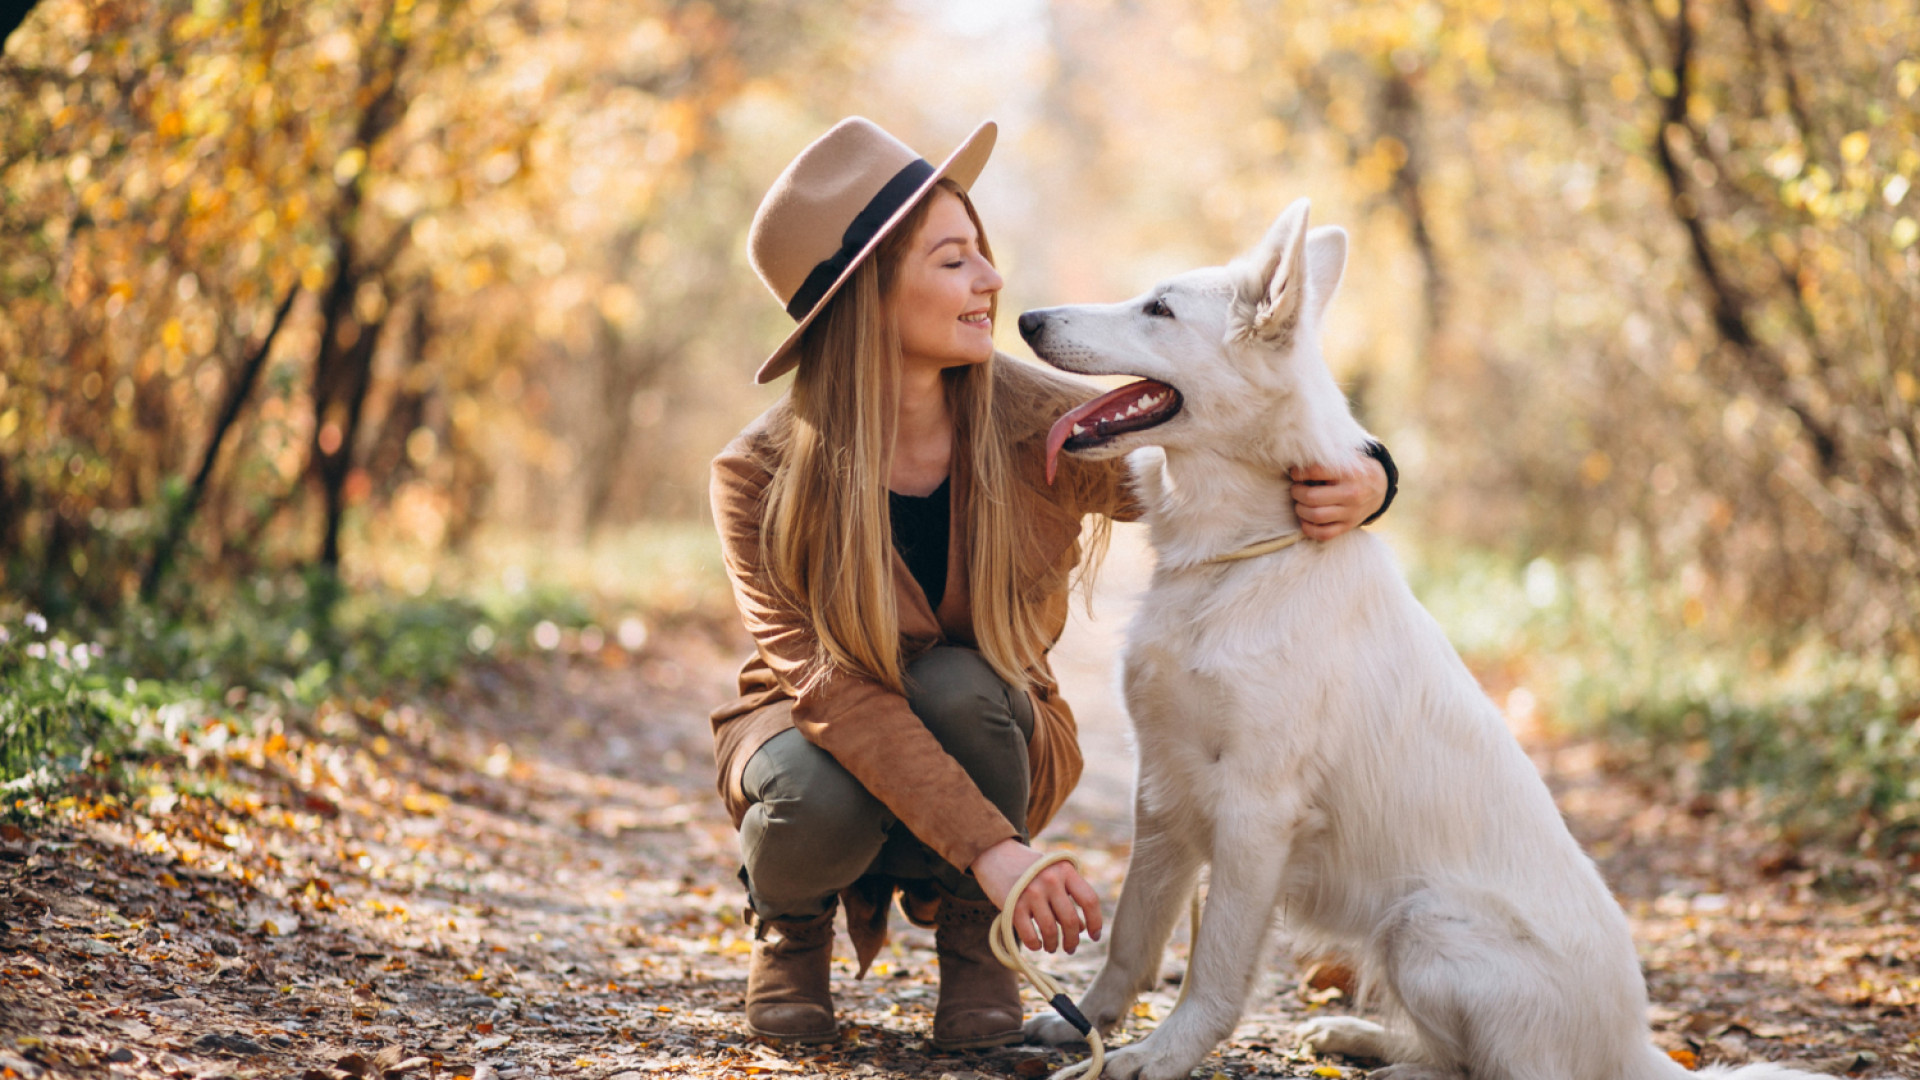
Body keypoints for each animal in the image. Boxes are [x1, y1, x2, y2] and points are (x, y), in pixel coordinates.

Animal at [1013, 197, 1820, 1068]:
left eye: (1158, 309)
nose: (1024, 318)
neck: (1244, 556)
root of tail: (1635, 1051)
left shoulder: (1255, 810)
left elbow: (1212, 971)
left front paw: (1157, 1057)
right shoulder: (1162, 791)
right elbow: (1132, 935)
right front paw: (1084, 1022)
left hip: (1425, 925)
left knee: (1476, 1067)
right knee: (1443, 1054)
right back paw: (1352, 1034)